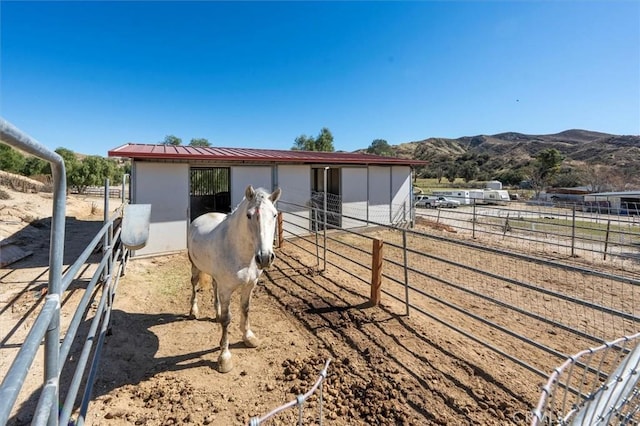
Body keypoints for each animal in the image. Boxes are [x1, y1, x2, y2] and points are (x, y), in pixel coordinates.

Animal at [188, 186, 282, 372]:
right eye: (249, 215)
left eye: (274, 215)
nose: (265, 258)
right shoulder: (226, 290)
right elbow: (227, 320)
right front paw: (224, 358)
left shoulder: (249, 285)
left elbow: (245, 310)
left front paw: (249, 337)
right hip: (195, 266)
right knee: (194, 284)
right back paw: (193, 311)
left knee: (214, 286)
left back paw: (216, 313)